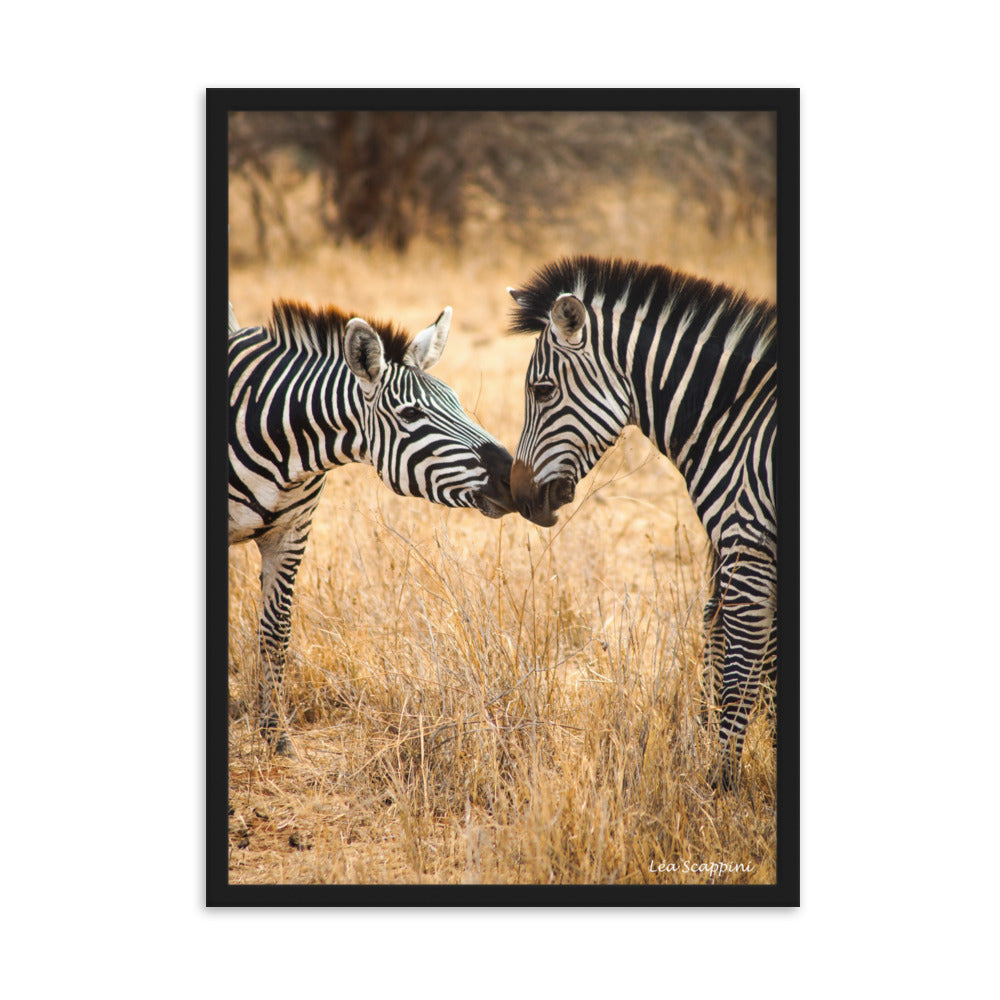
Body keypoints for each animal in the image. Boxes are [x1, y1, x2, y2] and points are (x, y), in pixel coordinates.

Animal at [230, 300, 512, 752]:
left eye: (457, 401)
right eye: (411, 413)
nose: (512, 476)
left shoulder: (291, 533)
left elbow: (276, 630)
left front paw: (275, 735)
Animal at [508, 256, 780, 788]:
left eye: (542, 390)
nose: (520, 496)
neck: (737, 421)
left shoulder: (749, 548)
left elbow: (740, 669)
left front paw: (721, 786)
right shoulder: (736, 552)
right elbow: (728, 648)